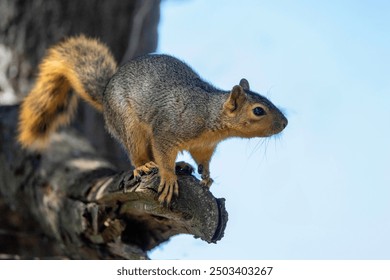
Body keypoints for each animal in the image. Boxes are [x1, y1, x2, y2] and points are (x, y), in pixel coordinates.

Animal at [17, 36, 286, 205]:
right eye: (259, 111)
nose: (285, 123)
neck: (210, 116)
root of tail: (105, 94)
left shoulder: (203, 146)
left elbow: (202, 160)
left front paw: (207, 176)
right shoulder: (169, 129)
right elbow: (162, 150)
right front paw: (168, 178)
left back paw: (180, 165)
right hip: (129, 125)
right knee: (140, 152)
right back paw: (146, 166)